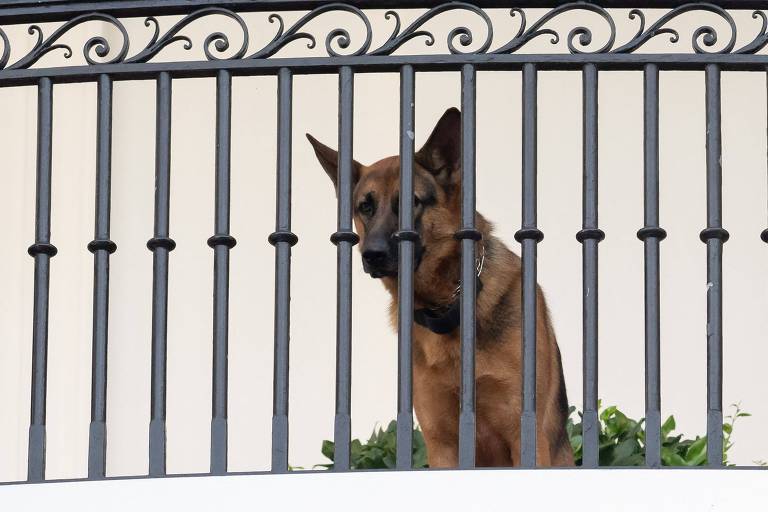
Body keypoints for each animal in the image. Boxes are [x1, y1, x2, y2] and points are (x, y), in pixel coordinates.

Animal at [308, 108, 572, 468]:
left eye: (412, 202)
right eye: (365, 206)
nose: (372, 255)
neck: (447, 305)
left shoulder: (525, 437)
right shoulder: (441, 445)